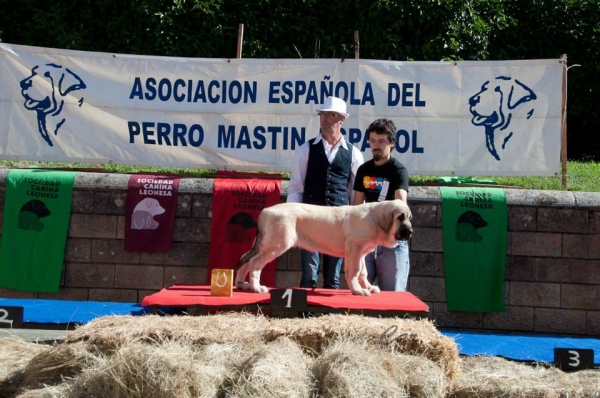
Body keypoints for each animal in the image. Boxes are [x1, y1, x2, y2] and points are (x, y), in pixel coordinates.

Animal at [234, 199, 412, 296]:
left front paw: (368, 287)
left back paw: (242, 284)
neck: (374, 219)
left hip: (264, 244)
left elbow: (363, 272)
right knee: (255, 262)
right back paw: (257, 287)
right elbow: (354, 272)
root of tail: (265, 211)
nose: (410, 232)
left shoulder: (361, 252)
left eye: (409, 218)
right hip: (277, 244)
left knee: (245, 258)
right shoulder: (354, 248)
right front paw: (358, 291)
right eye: (400, 217)